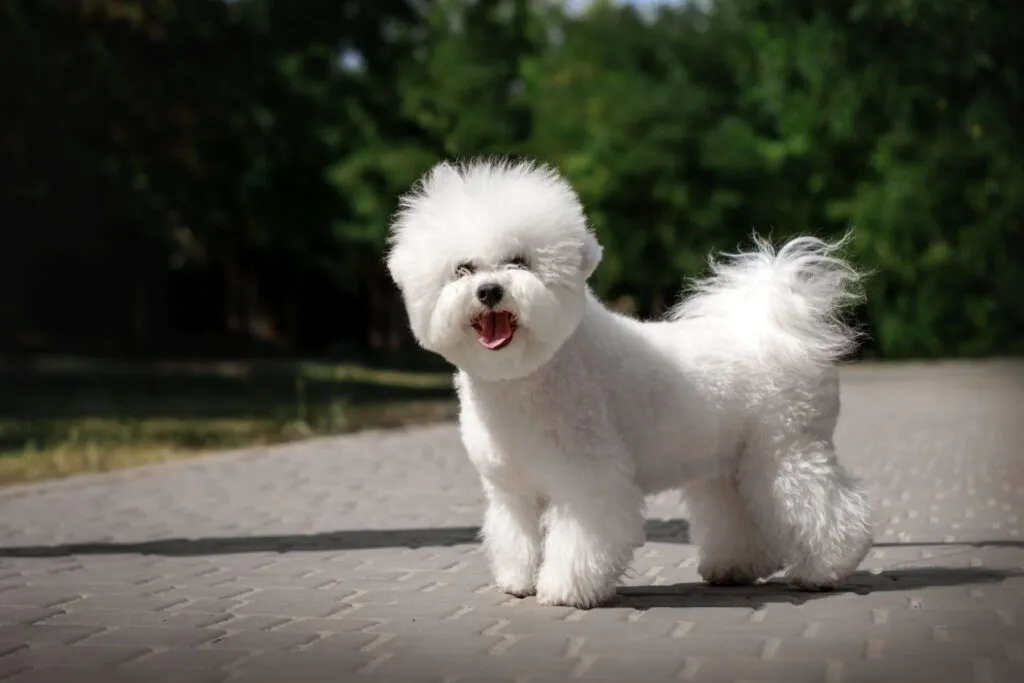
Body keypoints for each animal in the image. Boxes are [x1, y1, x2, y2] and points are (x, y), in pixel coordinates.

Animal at [385, 158, 872, 610]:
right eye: (463, 269)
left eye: (519, 262)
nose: (489, 291)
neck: (532, 373)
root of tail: (773, 329)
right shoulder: (511, 489)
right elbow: (516, 537)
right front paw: (517, 581)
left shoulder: (588, 478)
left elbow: (581, 538)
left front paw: (564, 590)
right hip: (727, 464)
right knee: (736, 513)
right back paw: (734, 567)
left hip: (788, 450)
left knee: (827, 508)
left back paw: (824, 570)